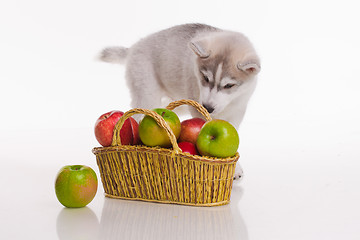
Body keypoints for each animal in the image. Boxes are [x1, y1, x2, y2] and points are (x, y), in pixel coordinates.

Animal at [100, 23, 260, 180]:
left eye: (229, 86)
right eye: (205, 78)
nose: (208, 107)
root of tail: (134, 47)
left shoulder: (238, 108)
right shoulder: (197, 106)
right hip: (147, 94)